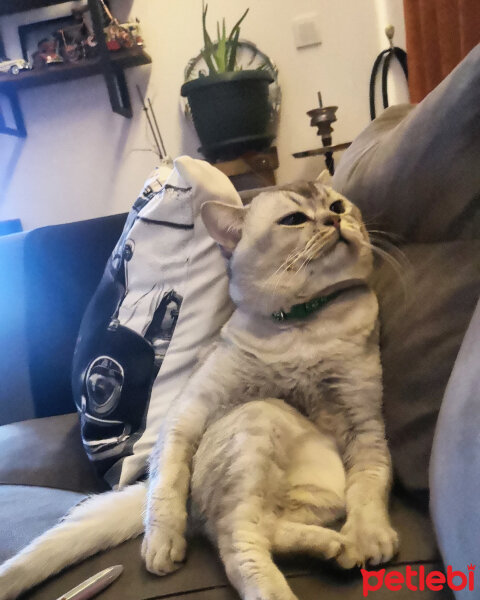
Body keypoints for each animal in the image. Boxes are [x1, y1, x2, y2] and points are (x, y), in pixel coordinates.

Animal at [0, 180, 398, 600]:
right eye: (294, 219)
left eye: (337, 206)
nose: (334, 220)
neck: (303, 328)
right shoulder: (190, 409)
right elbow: (168, 480)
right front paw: (161, 542)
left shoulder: (365, 423)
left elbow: (371, 481)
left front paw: (369, 536)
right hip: (258, 417)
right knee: (233, 535)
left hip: (320, 491)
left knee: (262, 528)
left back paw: (340, 547)